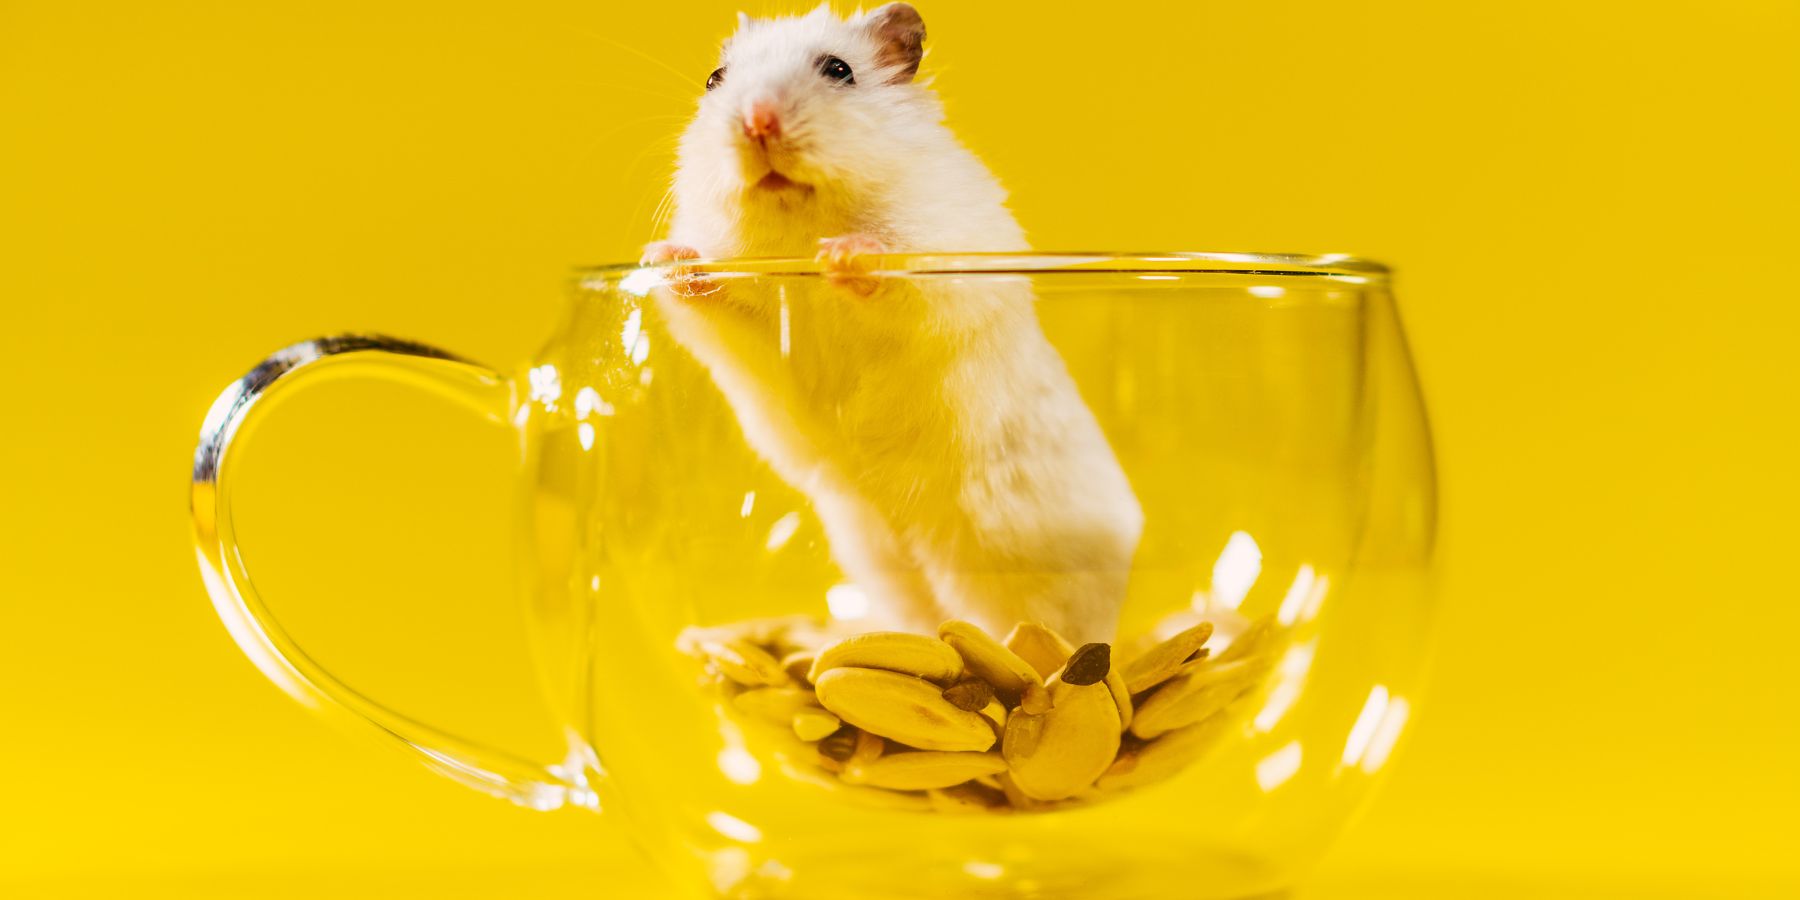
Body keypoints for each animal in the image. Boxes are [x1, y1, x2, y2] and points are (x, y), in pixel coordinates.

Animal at [643, 3, 1142, 642]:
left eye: (839, 69)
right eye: (714, 79)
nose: (756, 122)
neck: (799, 219)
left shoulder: (941, 264)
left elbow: (895, 278)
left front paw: (844, 255)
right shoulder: (747, 325)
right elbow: (716, 298)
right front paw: (664, 258)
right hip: (874, 552)